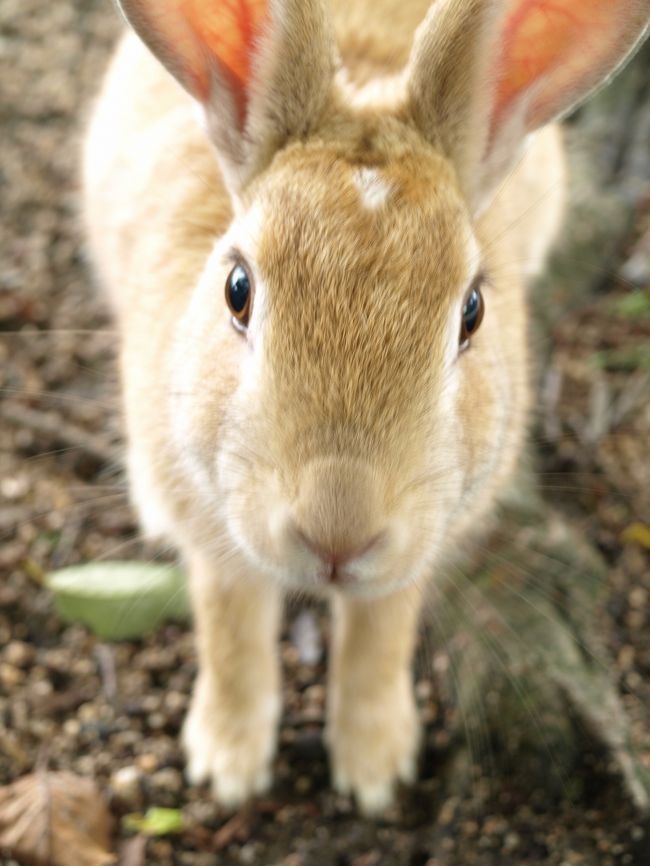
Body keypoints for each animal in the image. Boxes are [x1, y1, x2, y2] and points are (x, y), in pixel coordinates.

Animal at [81, 0, 648, 808]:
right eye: (237, 289)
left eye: (473, 311)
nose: (337, 530)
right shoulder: (214, 533)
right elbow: (231, 628)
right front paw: (227, 767)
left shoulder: (421, 541)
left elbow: (382, 632)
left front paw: (377, 770)